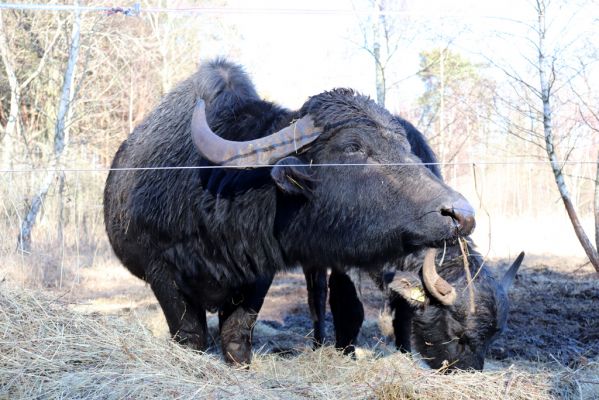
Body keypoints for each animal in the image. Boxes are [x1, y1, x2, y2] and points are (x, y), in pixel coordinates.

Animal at [105, 59, 476, 366]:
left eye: (405, 147)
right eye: (353, 146)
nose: (461, 214)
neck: (214, 185)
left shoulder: (257, 275)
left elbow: (236, 335)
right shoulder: (161, 272)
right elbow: (190, 335)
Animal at [302, 119, 524, 372]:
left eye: (493, 338)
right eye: (458, 334)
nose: (468, 369)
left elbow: (404, 316)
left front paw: (405, 353)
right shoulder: (345, 262)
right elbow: (350, 307)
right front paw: (347, 353)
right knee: (317, 295)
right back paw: (318, 343)